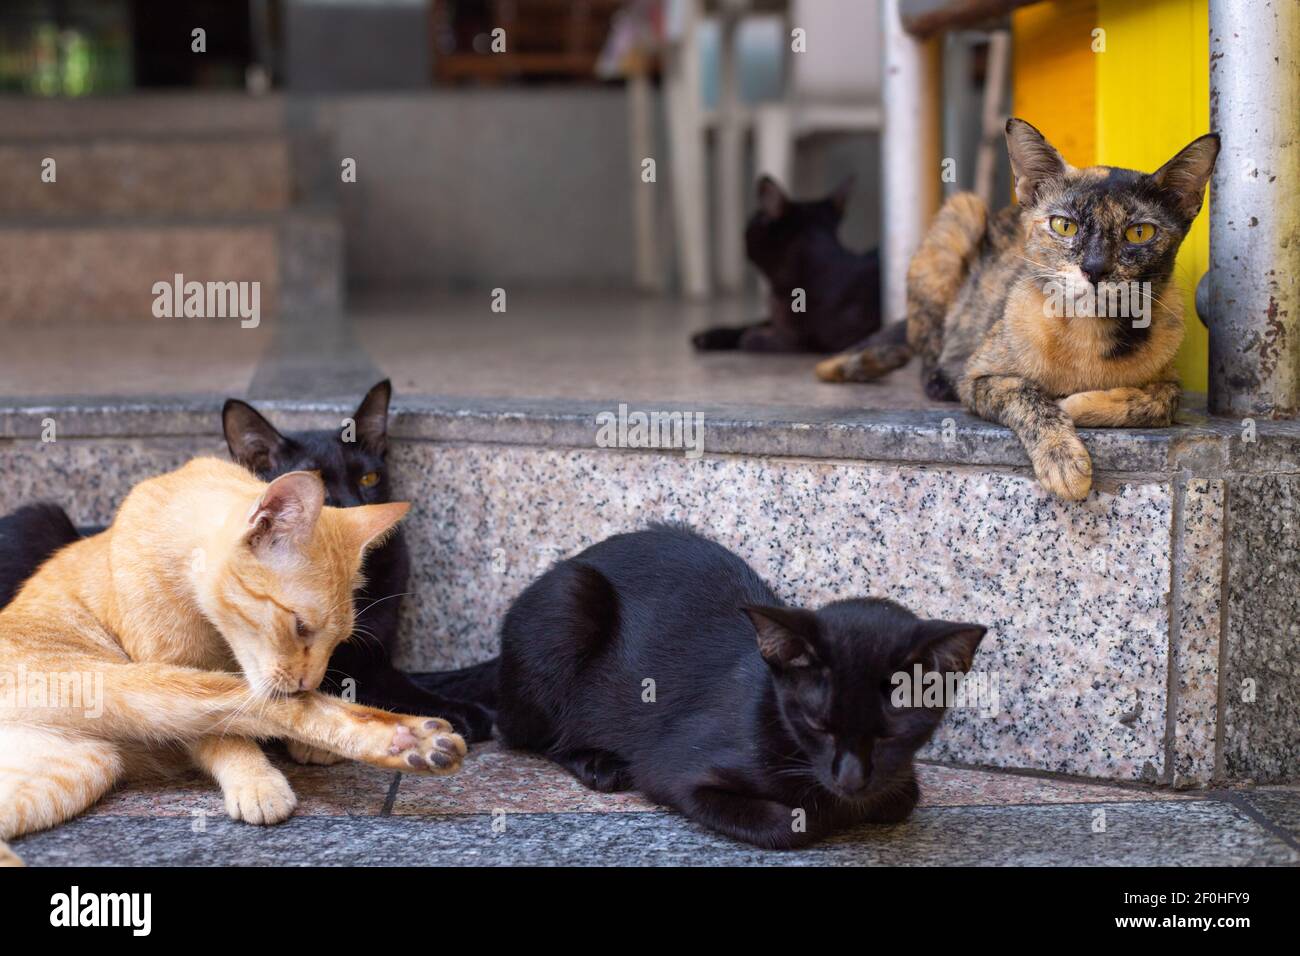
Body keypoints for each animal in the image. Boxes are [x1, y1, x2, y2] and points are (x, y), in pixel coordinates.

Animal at [0, 382, 491, 749]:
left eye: (369, 478)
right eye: (321, 487)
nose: (353, 505)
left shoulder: (374, 650)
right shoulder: (350, 669)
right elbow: (394, 686)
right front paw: (461, 712)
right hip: (40, 516)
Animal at [0, 457, 467, 868]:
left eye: (338, 641)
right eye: (300, 627)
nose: (308, 679)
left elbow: (272, 706)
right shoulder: (173, 668)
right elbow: (231, 734)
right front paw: (255, 780)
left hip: (81, 767)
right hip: (117, 686)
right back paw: (412, 740)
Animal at [426, 528, 982, 848]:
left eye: (891, 735)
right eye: (816, 724)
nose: (849, 779)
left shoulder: (897, 777)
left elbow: (902, 795)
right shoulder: (673, 769)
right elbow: (788, 823)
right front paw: (827, 816)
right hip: (569, 605)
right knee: (520, 732)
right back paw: (598, 762)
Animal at [691, 175, 883, 356]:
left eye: (753, 222)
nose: (743, 233)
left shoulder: (825, 341)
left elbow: (758, 339)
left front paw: (754, 337)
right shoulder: (773, 320)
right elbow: (750, 324)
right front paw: (711, 335)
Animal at [811, 119, 1216, 502]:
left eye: (1139, 233)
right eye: (1064, 225)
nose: (1095, 269)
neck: (1088, 336)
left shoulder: (1169, 375)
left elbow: (1164, 401)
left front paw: (1079, 404)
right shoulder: (978, 378)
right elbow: (1026, 395)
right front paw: (1063, 461)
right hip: (961, 214)